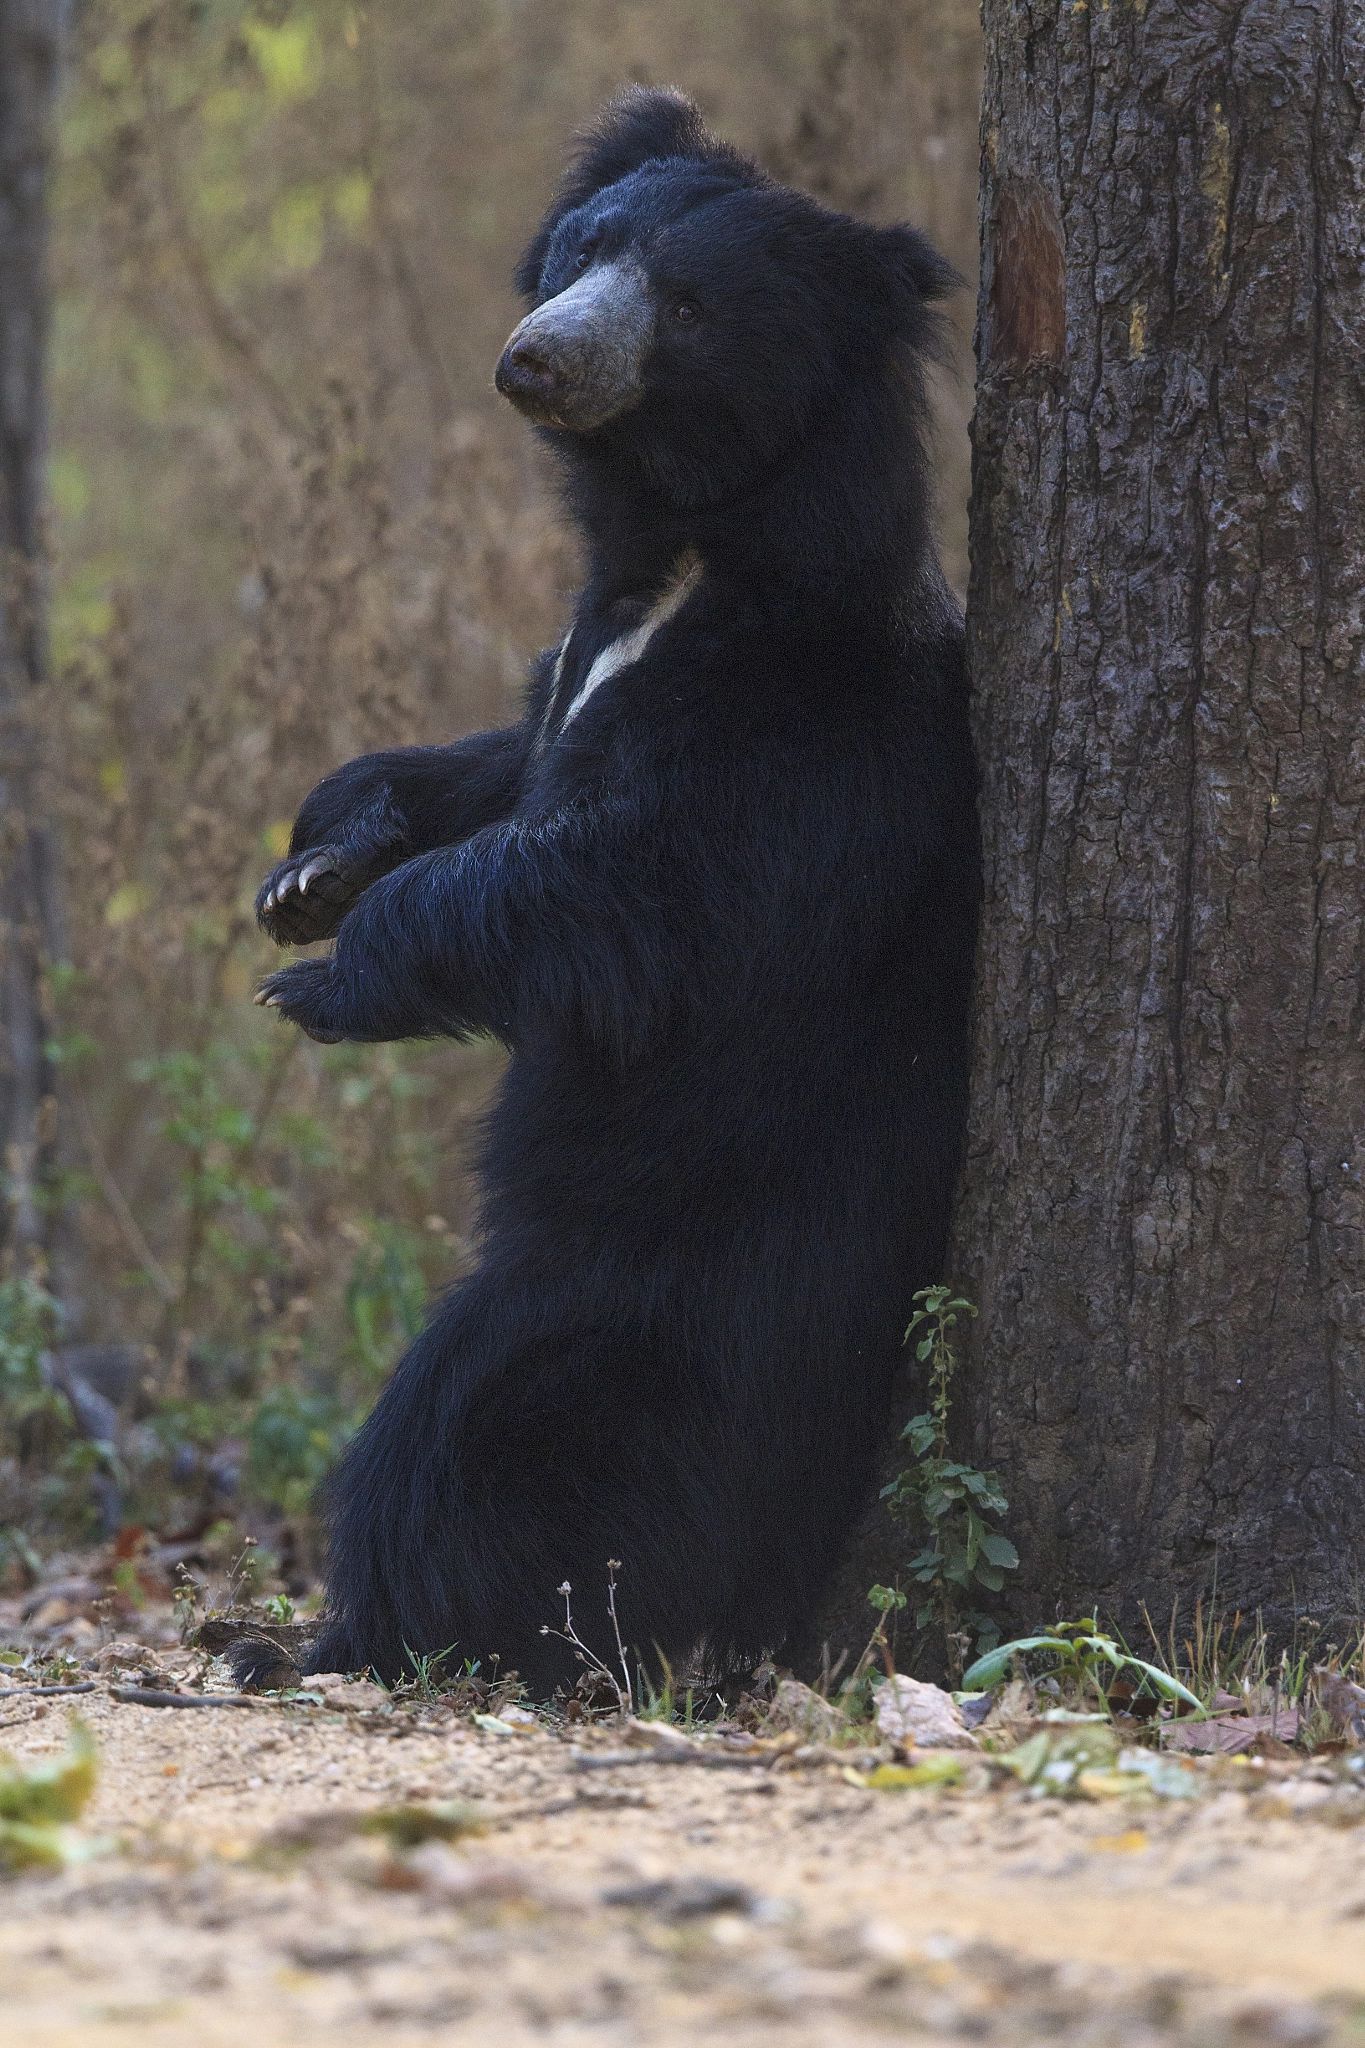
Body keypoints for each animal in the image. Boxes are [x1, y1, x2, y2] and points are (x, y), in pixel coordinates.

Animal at [245, 92, 978, 1695]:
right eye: (581, 251)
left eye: (689, 304)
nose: (533, 358)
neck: (685, 549)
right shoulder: (574, 652)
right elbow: (492, 770)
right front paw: (307, 872)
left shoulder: (805, 752)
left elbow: (622, 888)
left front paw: (324, 977)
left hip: (649, 1285)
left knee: (463, 1438)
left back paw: (353, 1634)